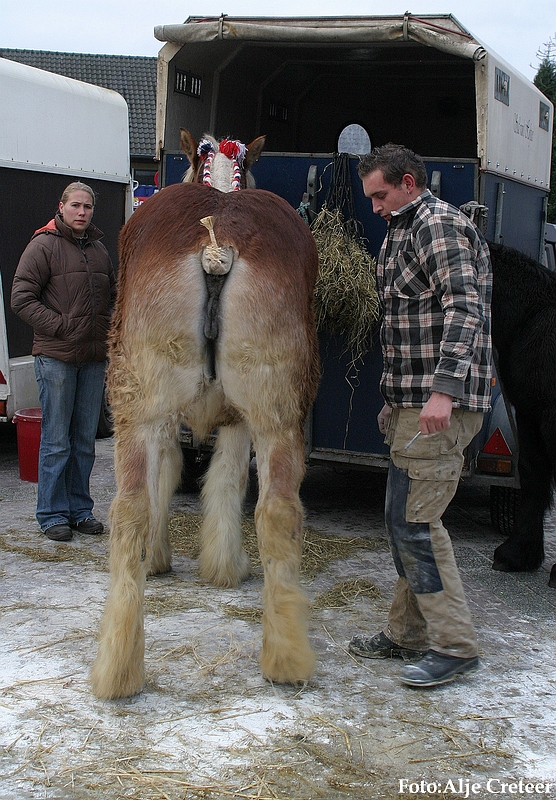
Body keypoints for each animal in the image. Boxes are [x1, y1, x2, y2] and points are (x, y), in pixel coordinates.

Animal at [89, 128, 320, 696]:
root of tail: (217, 243)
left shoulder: (199, 421)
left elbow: (178, 477)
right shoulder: (231, 419)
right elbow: (225, 482)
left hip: (147, 400)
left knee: (133, 507)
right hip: (268, 405)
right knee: (275, 510)